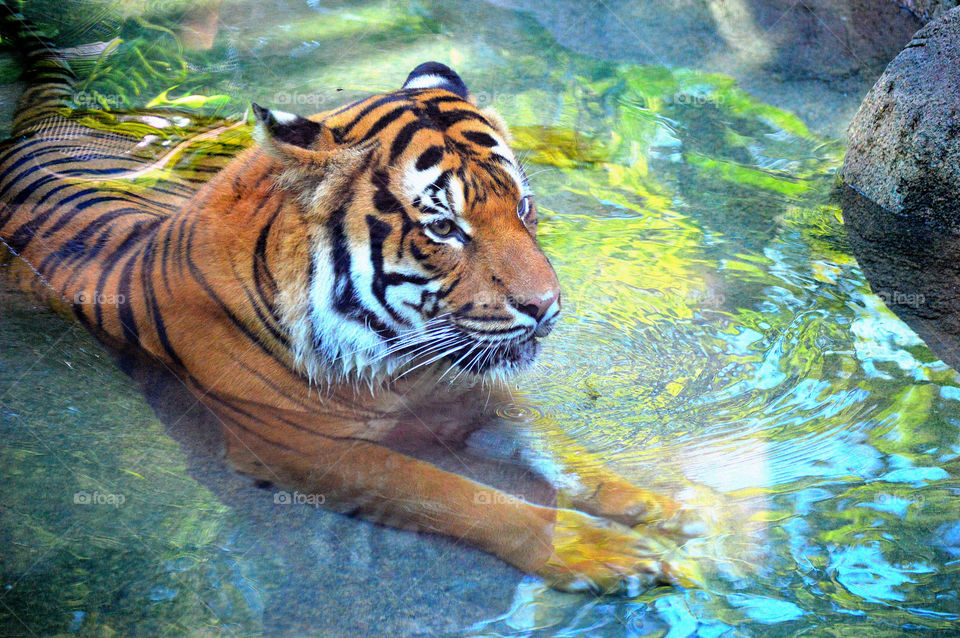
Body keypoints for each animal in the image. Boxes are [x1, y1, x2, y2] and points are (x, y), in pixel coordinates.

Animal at [0, 13, 696, 596]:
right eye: (444, 228)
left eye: (523, 207)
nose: (547, 307)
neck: (399, 360)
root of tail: (44, 124)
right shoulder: (304, 449)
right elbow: (454, 492)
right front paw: (594, 549)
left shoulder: (467, 389)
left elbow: (562, 452)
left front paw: (666, 505)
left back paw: (584, 146)